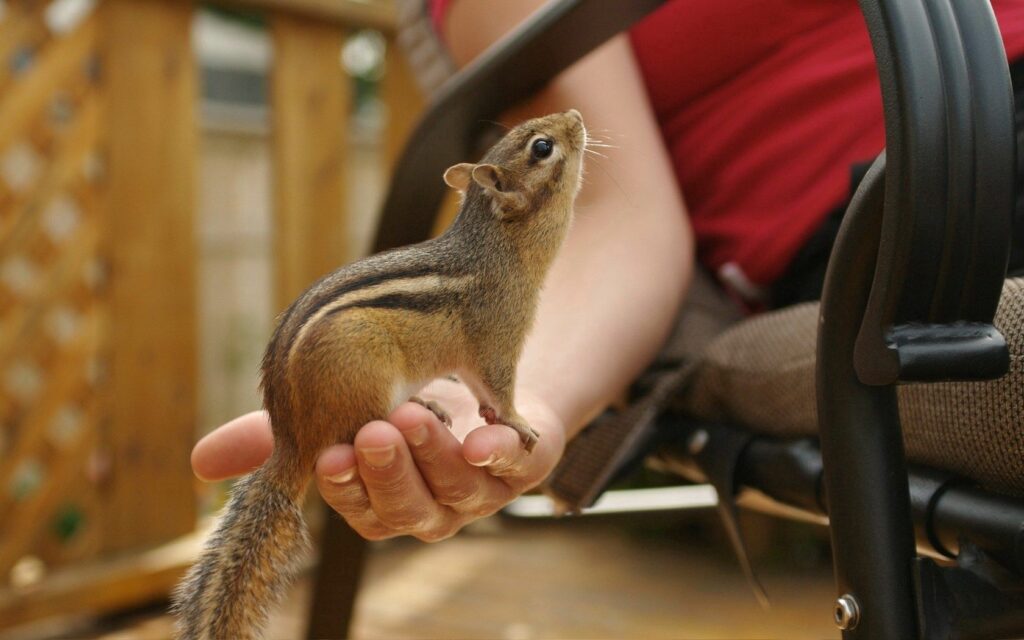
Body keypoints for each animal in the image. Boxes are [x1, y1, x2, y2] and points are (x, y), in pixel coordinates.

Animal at [171, 109, 587, 640]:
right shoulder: (497, 339)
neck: (496, 247)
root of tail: (291, 438)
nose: (575, 116)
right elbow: (497, 385)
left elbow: (480, 388)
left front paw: (494, 416)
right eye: (542, 147)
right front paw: (516, 422)